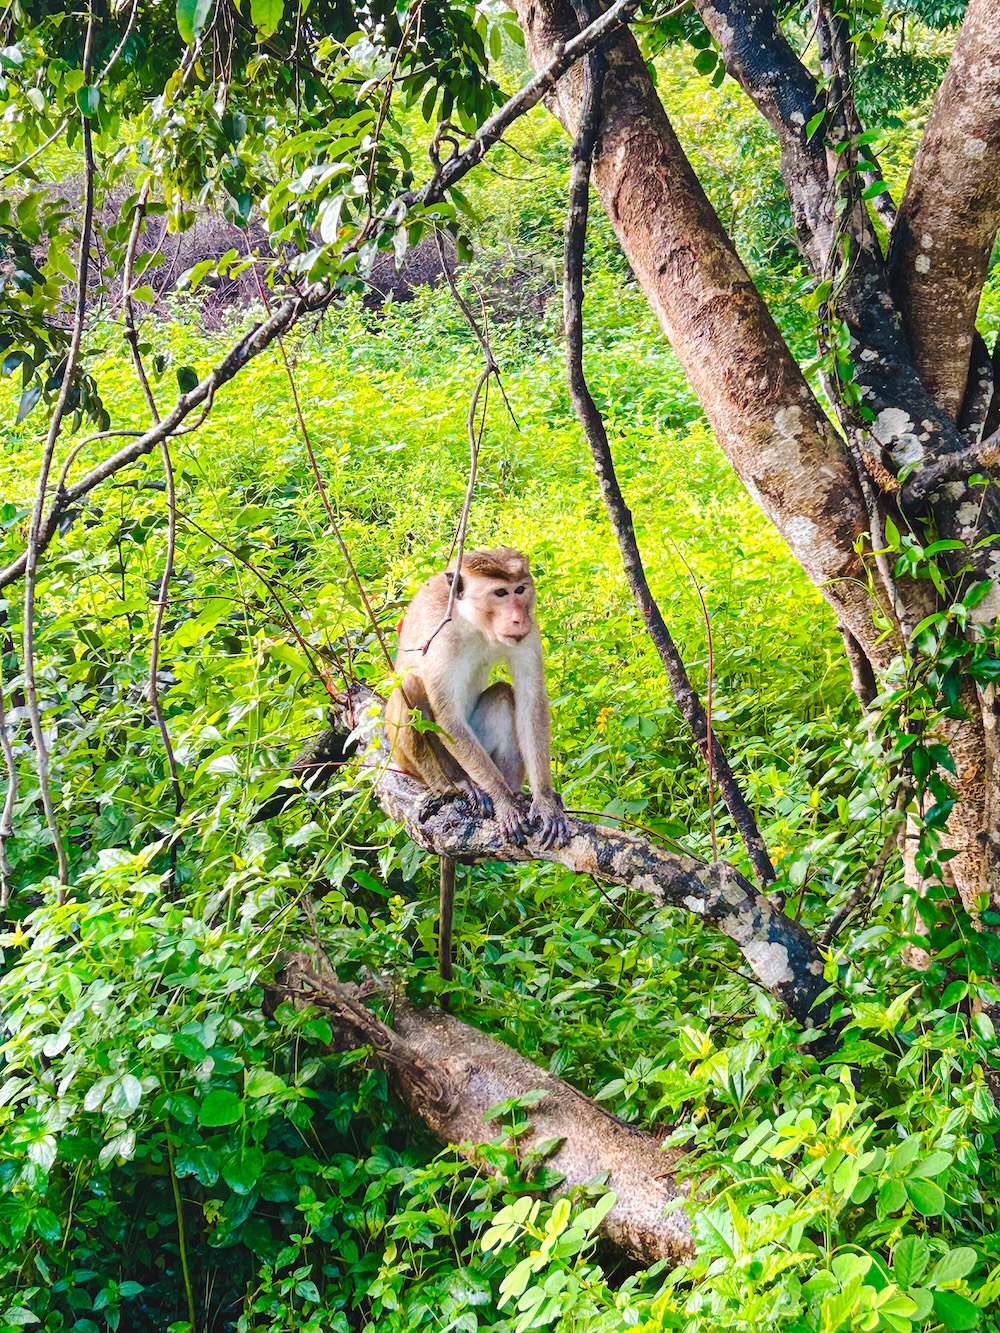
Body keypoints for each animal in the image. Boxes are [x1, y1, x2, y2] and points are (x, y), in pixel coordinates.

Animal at [384, 543, 570, 991]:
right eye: (500, 594)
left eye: (520, 589)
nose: (518, 616)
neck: (475, 625)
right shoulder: (443, 640)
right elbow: (447, 715)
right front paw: (502, 804)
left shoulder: (529, 635)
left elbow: (530, 699)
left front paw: (541, 800)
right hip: (406, 758)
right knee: (408, 687)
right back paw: (456, 787)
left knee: (503, 694)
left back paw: (510, 790)